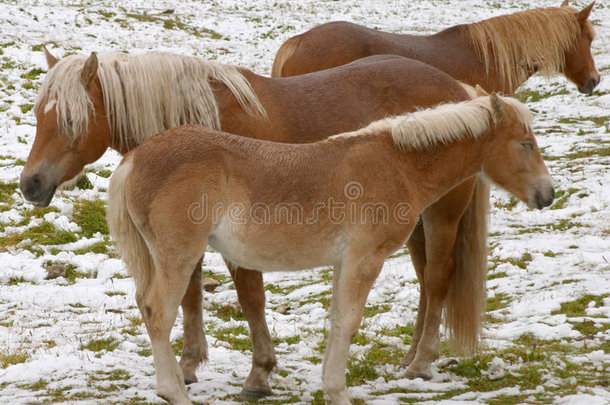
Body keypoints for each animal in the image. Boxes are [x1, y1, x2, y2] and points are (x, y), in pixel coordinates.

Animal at [20, 49, 484, 396]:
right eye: (39, 116)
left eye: (70, 120)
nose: (30, 185)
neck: (202, 114)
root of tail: (459, 88)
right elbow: (190, 296)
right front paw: (187, 367)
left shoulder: (238, 241)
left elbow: (250, 299)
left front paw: (259, 373)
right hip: (414, 222)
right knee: (425, 278)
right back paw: (410, 356)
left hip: (442, 213)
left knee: (438, 277)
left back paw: (422, 362)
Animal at [107, 93, 552, 402]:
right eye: (525, 144)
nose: (547, 194)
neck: (397, 165)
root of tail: (134, 158)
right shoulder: (364, 259)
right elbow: (348, 322)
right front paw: (338, 392)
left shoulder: (344, 263)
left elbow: (338, 319)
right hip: (178, 258)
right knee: (158, 313)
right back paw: (175, 392)